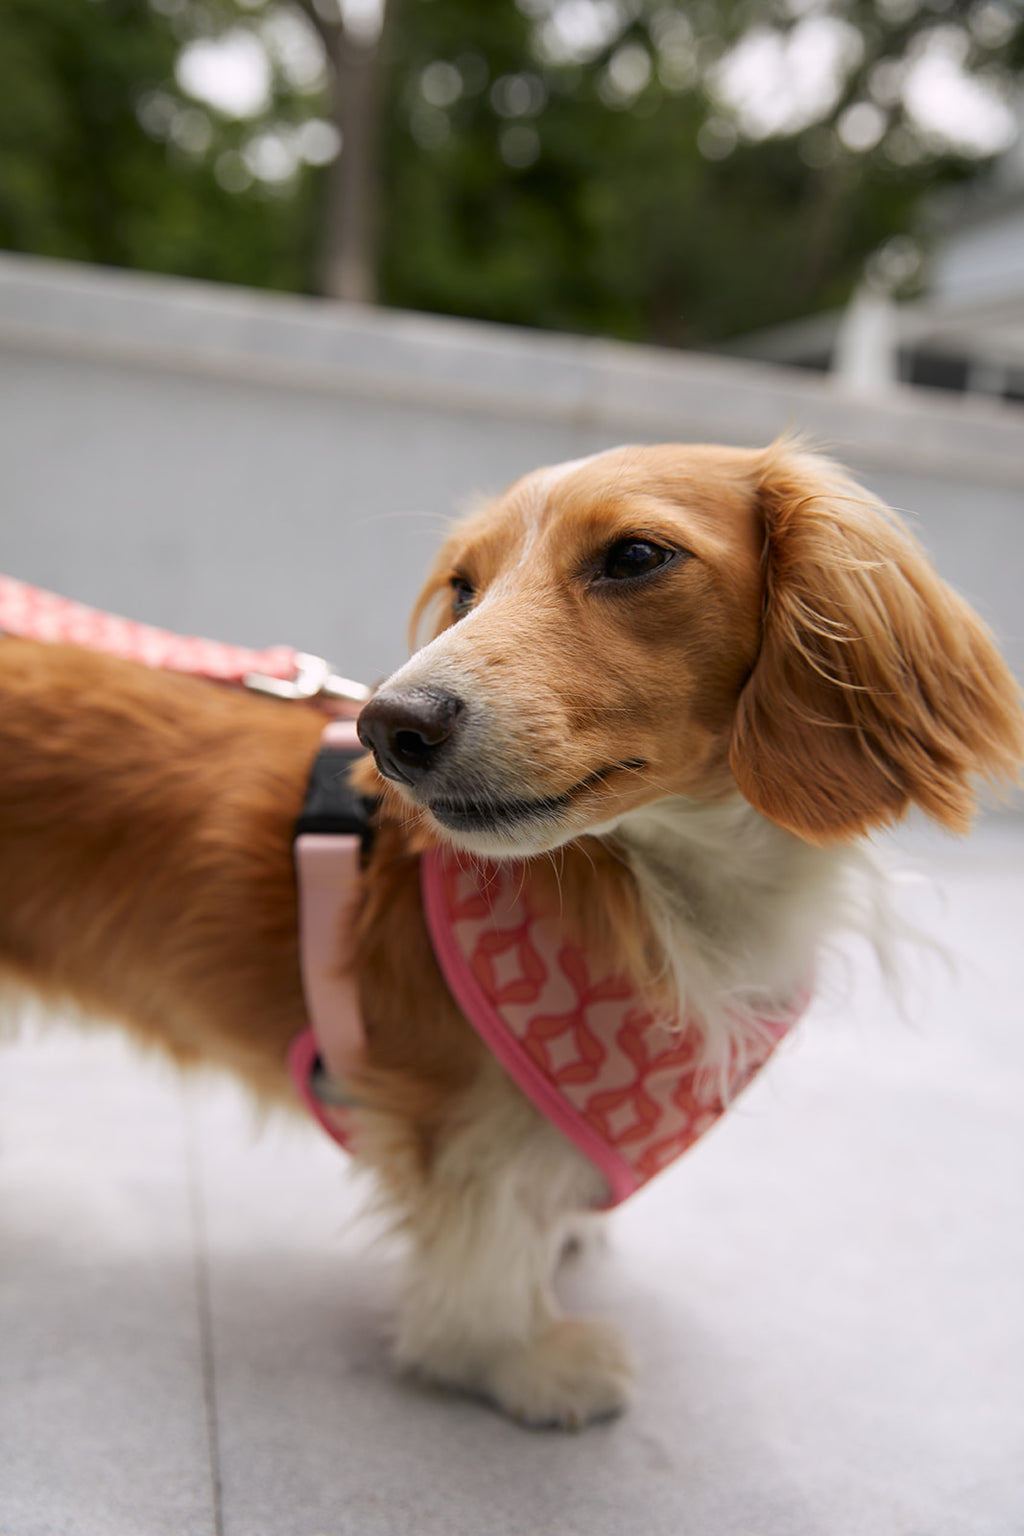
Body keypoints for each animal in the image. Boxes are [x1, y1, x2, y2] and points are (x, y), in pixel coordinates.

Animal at [0, 442, 1019, 1425]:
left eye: (636, 557)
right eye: (464, 585)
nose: (387, 729)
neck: (661, 876)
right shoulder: (467, 1123)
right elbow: (484, 1247)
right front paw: (517, 1357)